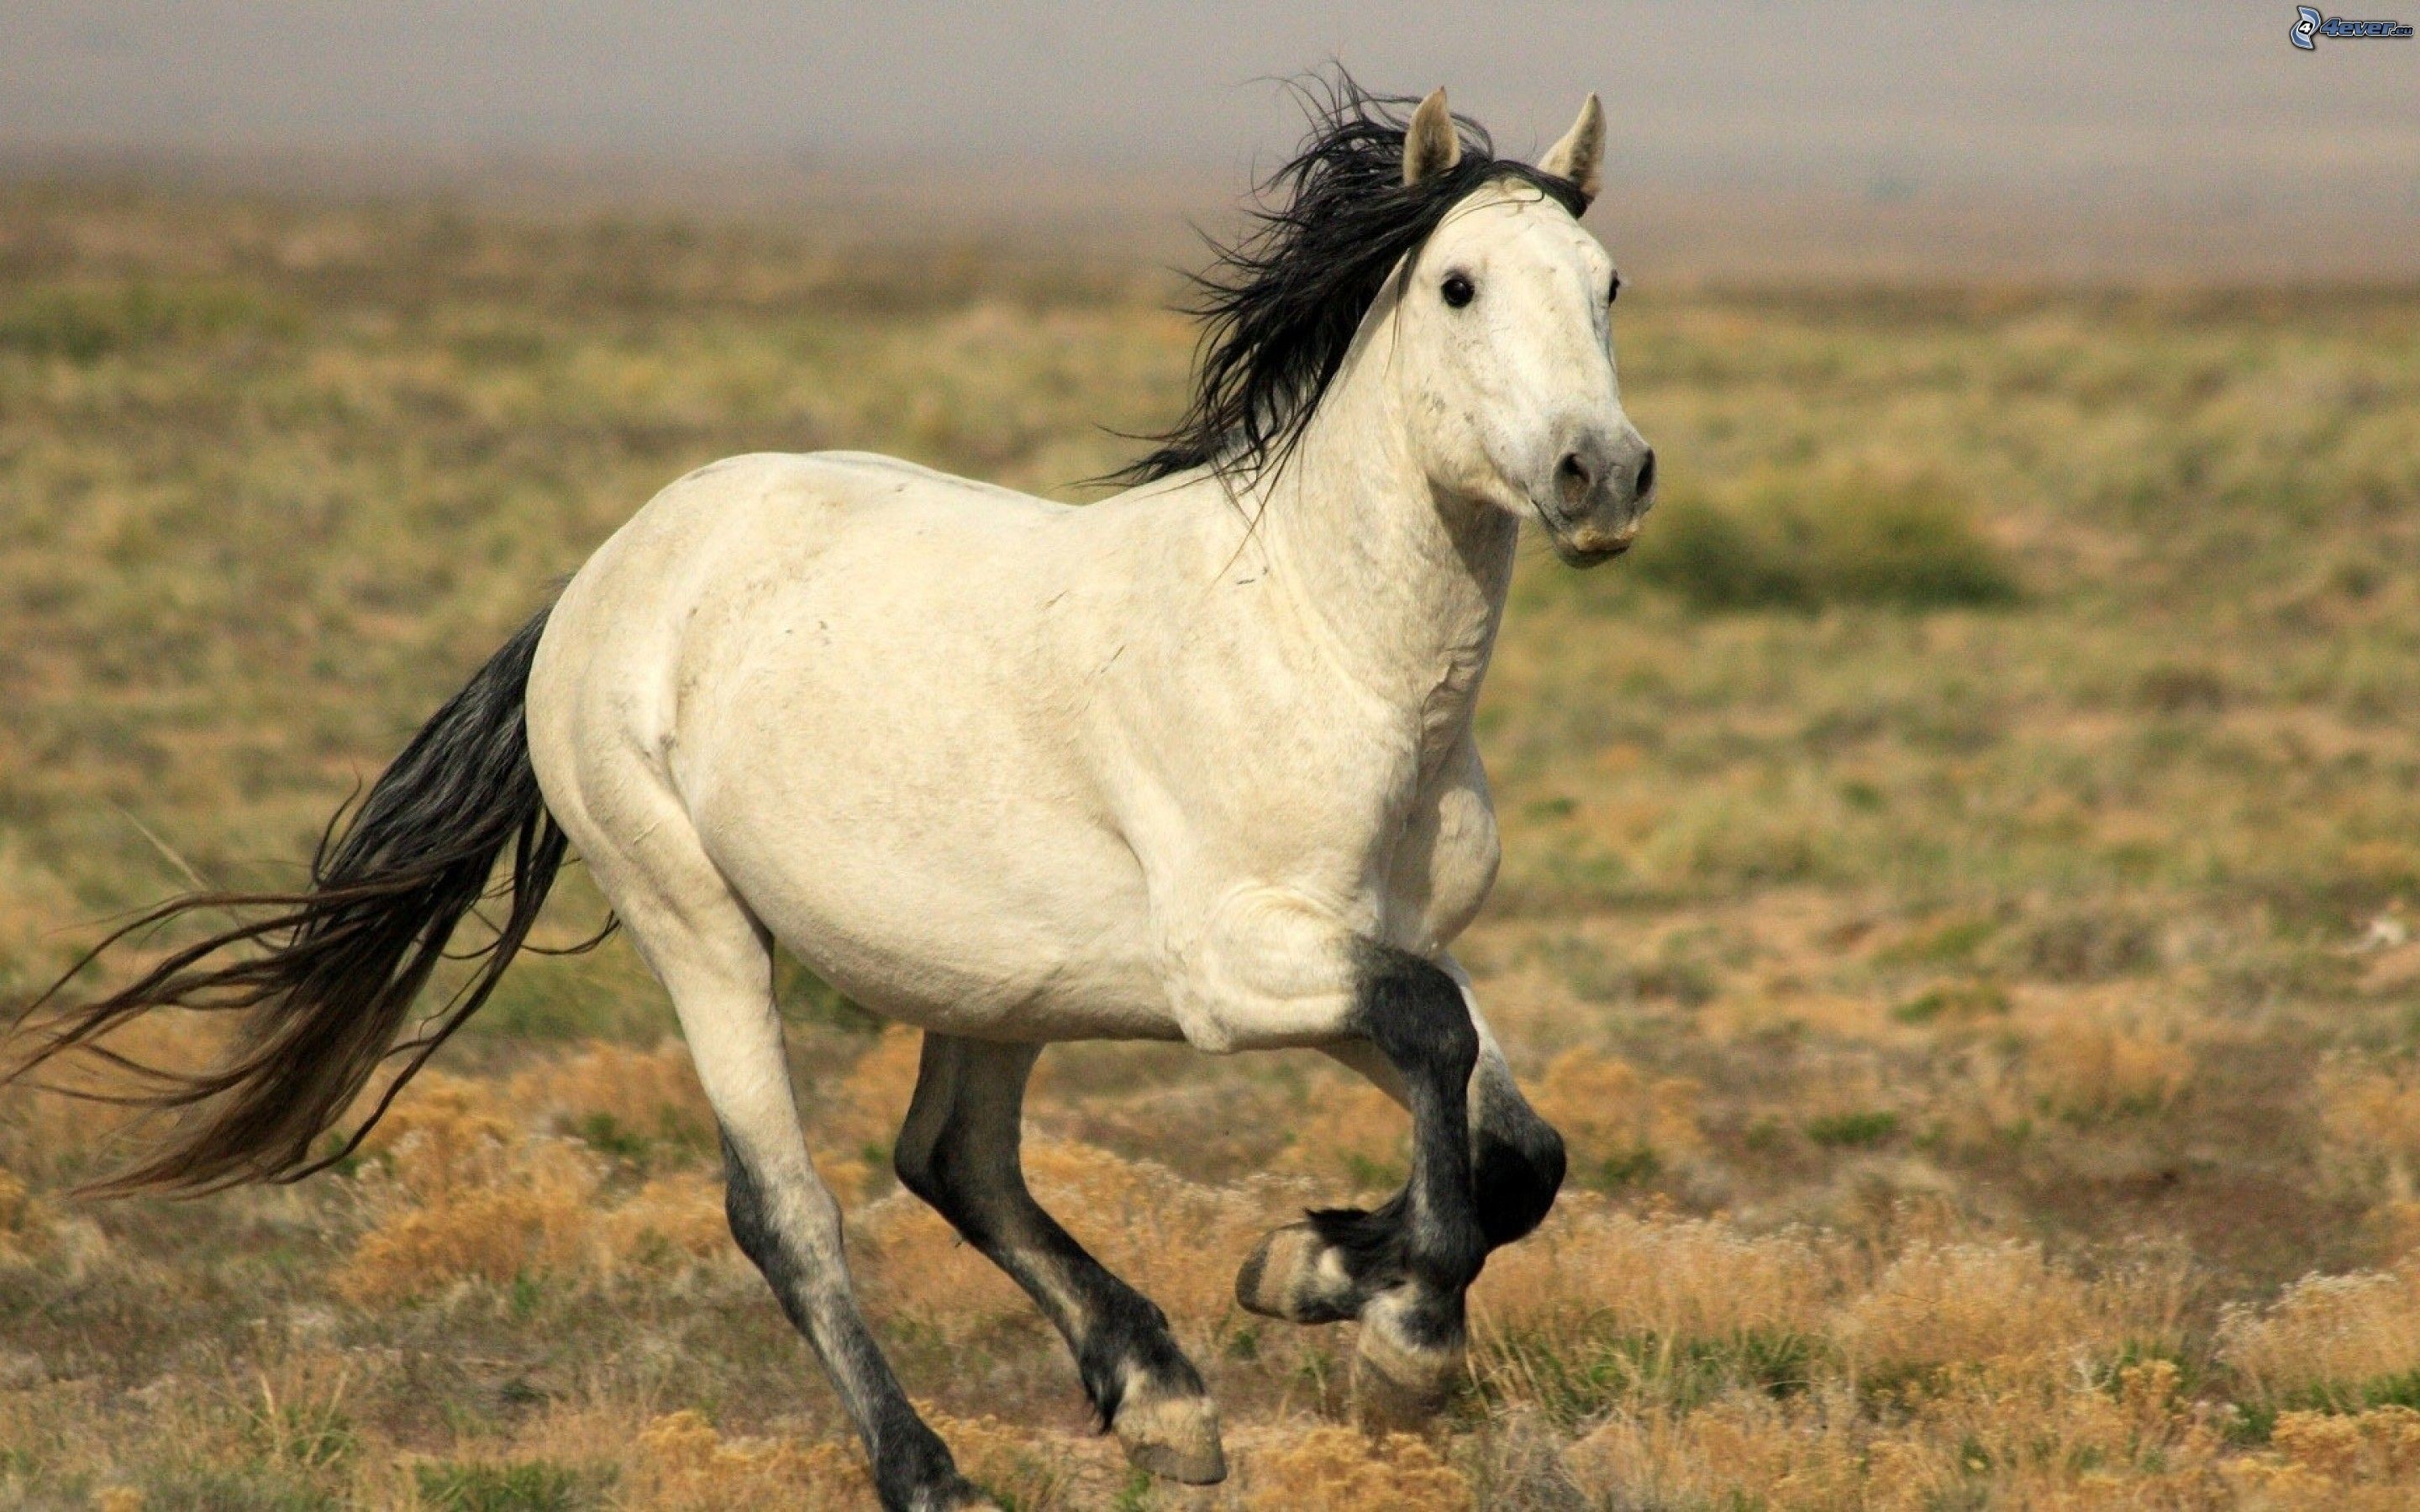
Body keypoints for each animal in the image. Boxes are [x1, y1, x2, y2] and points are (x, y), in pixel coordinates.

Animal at [7, 80, 1652, 1512]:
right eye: (1457, 286)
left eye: (1609, 283)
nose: (1603, 475)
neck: (1320, 649)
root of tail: (605, 575)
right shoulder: (1235, 971)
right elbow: (1442, 1052)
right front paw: (1398, 1343)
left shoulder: (1373, 949)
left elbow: (1514, 1143)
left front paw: (1304, 1266)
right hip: (697, 926)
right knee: (788, 1210)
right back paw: (932, 1472)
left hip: (1005, 981)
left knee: (955, 1160)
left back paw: (1164, 1399)